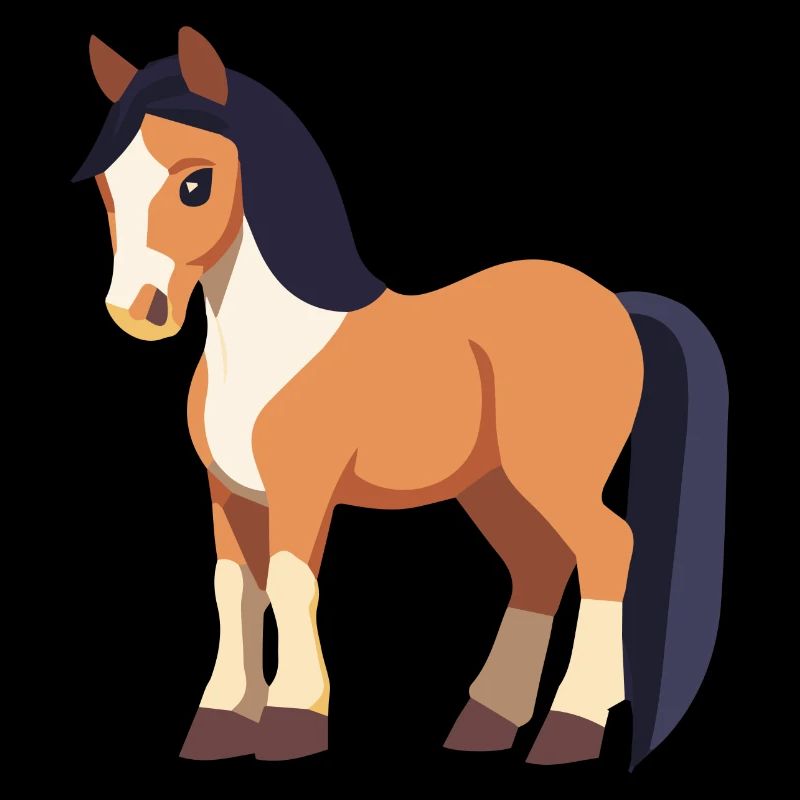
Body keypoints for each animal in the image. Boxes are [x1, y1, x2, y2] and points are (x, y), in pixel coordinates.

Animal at [76, 27, 728, 767]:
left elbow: (291, 581)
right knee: (540, 565)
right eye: (107, 185)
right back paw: (487, 722)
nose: (137, 311)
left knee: (608, 550)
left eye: (195, 182)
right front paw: (220, 722)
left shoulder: (303, 490)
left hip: (553, 477)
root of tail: (615, 303)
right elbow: (234, 589)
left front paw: (292, 722)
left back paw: (573, 726)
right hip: (492, 487)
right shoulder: (229, 492)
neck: (269, 344)